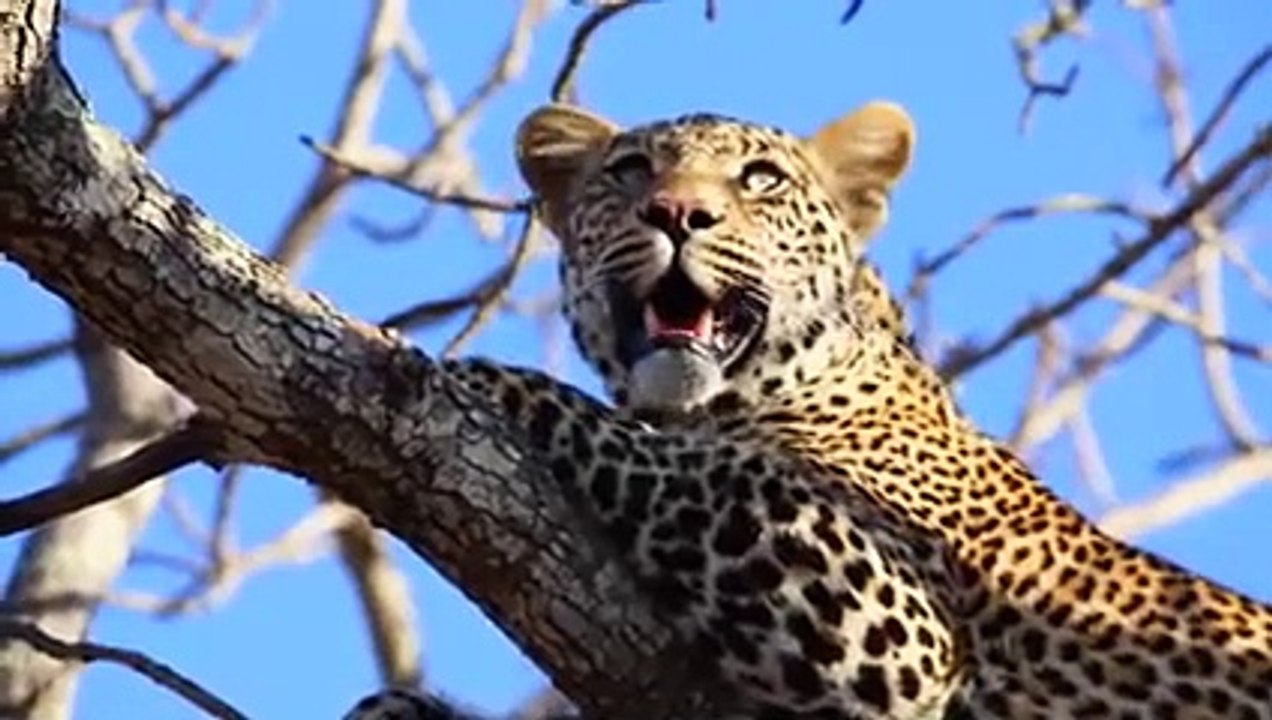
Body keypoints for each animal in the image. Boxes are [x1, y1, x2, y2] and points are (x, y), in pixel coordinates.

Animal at [346, 103, 1272, 719]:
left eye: (760, 180)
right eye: (629, 172)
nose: (677, 213)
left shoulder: (898, 627)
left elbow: (685, 462)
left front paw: (479, 376)